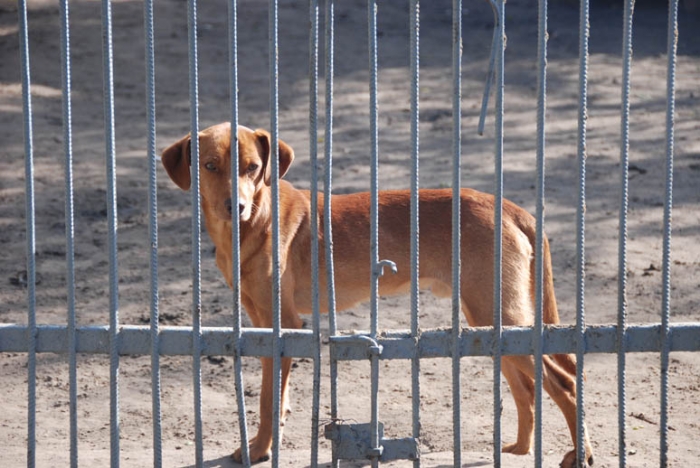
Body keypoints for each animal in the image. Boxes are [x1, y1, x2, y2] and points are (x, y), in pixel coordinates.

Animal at [161, 122, 593, 467]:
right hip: (488, 323)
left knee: (564, 381)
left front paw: (259, 450)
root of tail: (510, 207)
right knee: (529, 388)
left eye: (252, 167)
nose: (235, 206)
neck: (255, 223)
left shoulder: (284, 324)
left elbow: (268, 402)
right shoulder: (260, 323)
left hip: (497, 313)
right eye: (209, 166)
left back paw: (580, 453)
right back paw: (519, 449)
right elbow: (276, 398)